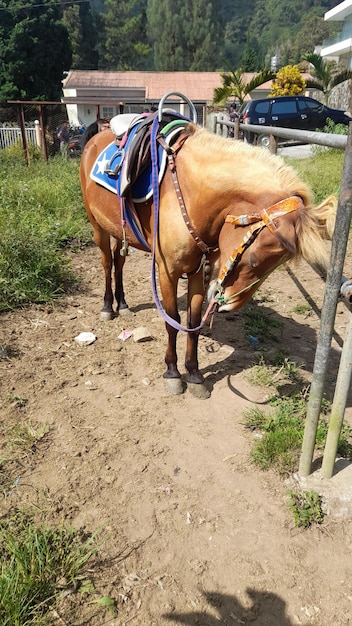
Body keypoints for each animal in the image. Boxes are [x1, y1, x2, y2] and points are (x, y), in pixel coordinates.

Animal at [80, 124, 336, 398]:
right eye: (255, 259)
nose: (228, 305)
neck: (192, 196)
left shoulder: (197, 272)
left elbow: (193, 323)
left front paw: (194, 374)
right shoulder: (167, 272)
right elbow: (172, 321)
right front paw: (172, 372)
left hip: (120, 231)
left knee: (119, 262)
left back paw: (123, 303)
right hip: (98, 227)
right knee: (108, 263)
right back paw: (108, 307)